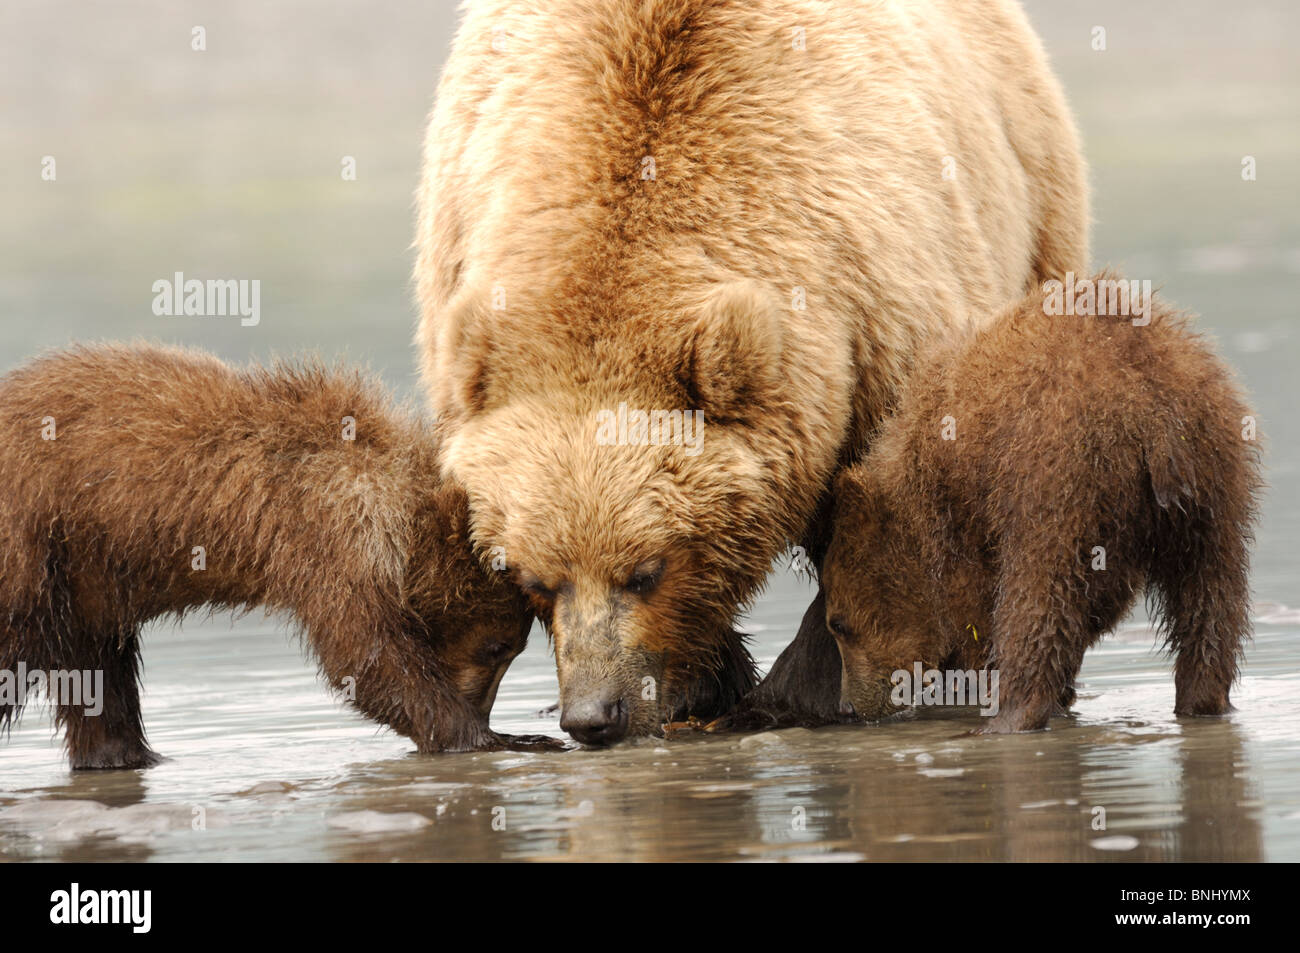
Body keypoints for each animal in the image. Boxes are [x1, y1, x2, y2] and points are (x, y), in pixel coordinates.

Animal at [416, 0, 1086, 743]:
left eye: (645, 571)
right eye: (537, 579)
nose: (593, 715)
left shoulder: (878, 296)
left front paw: (804, 689)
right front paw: (705, 685)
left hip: (1031, 185)